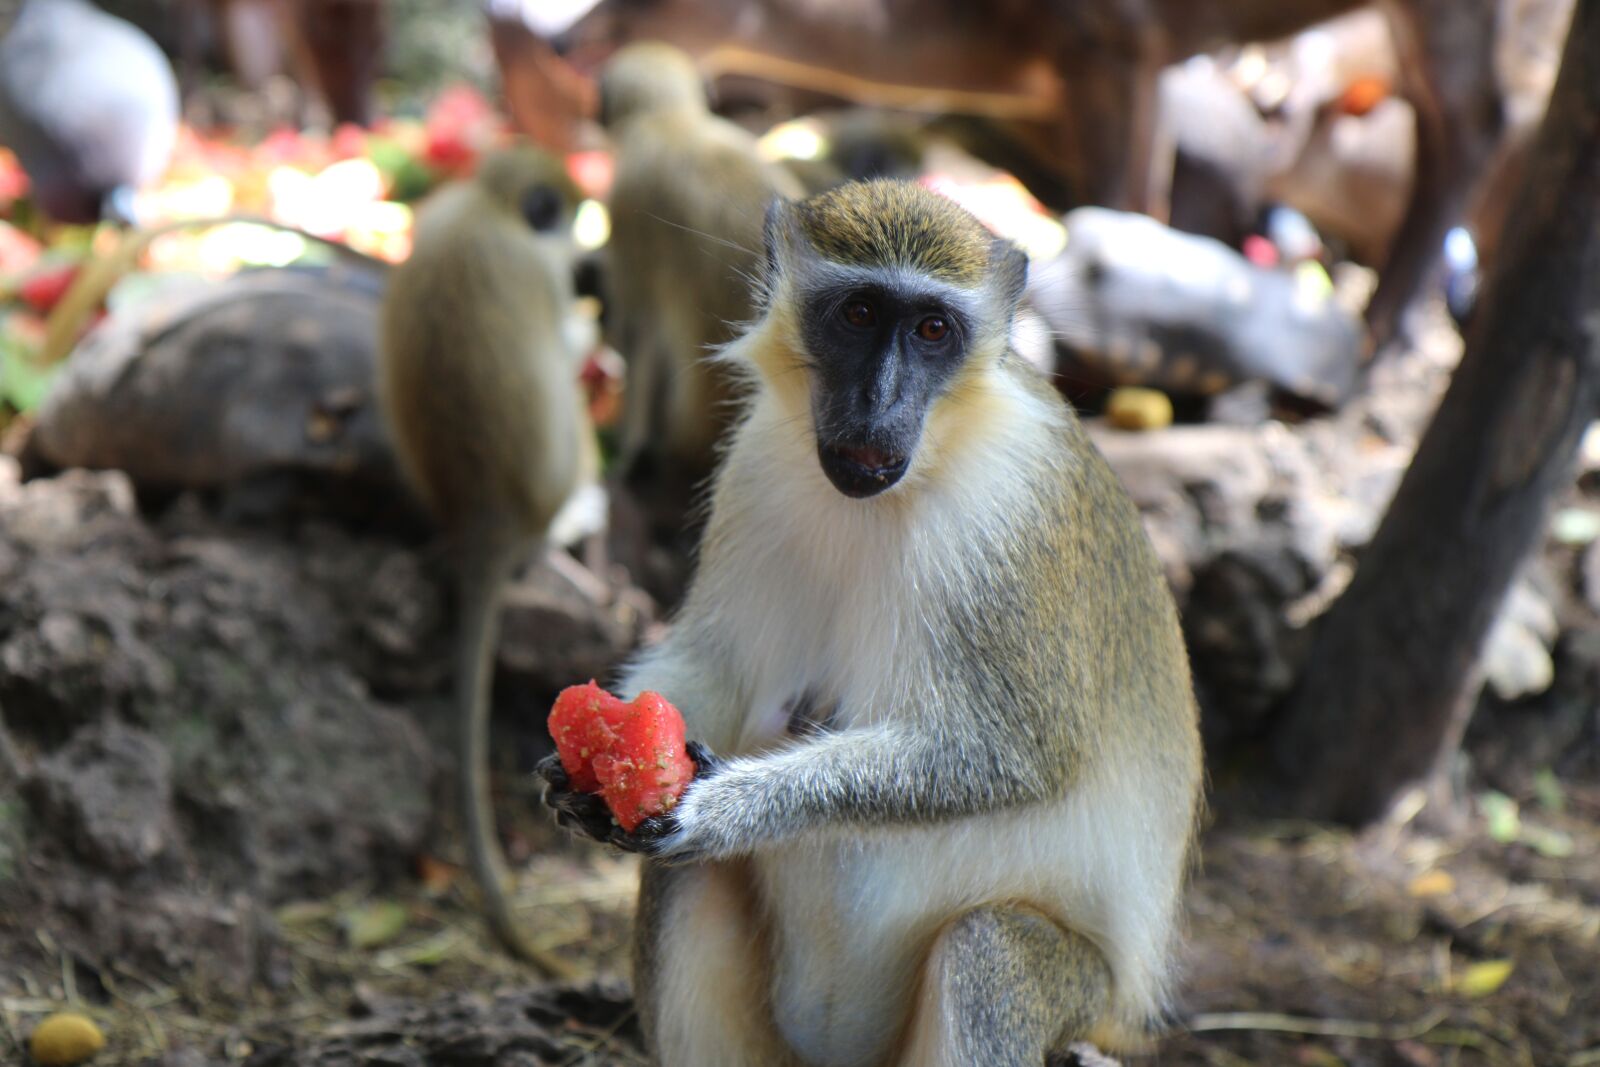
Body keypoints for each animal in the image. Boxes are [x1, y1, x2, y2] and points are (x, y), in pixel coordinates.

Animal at [542, 179, 1203, 1066]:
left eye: (932, 330)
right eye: (858, 313)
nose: (878, 400)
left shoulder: (1011, 513)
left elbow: (1012, 751)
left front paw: (722, 806)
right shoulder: (755, 462)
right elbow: (715, 669)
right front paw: (584, 758)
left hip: (1078, 996)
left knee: (988, 950)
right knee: (680, 875)